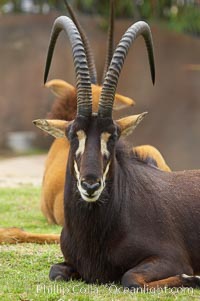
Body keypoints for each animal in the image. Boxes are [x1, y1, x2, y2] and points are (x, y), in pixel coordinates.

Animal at [33, 14, 200, 288]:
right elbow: (55, 271)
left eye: (112, 135)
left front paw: (192, 277)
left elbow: (130, 279)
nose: (90, 185)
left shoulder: (171, 258)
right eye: (73, 134)